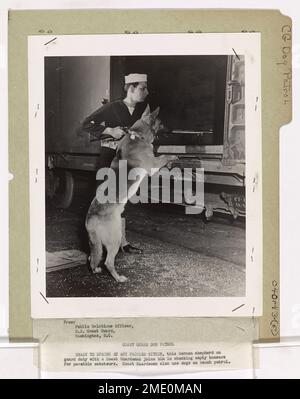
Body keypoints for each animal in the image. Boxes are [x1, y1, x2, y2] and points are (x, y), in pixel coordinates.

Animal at [85, 105, 176, 282]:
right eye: (161, 121)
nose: (172, 130)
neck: (137, 135)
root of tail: (90, 219)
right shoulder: (153, 164)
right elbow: (165, 155)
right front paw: (174, 157)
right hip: (114, 238)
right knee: (108, 262)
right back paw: (118, 278)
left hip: (97, 244)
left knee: (92, 257)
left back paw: (96, 269)